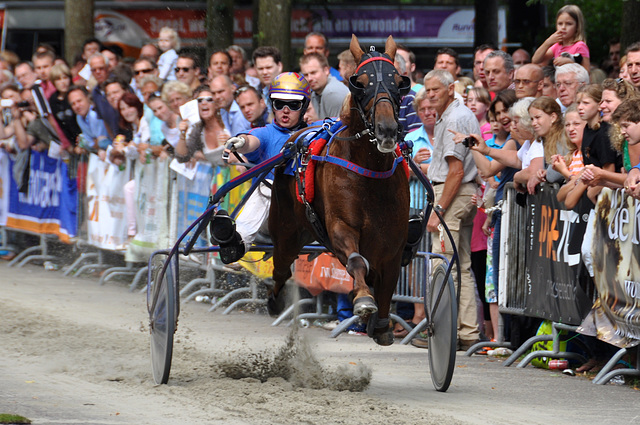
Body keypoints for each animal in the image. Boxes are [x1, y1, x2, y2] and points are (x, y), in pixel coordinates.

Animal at [268, 34, 410, 342]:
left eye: (398, 82)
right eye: (361, 82)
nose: (386, 130)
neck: (371, 172)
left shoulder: (394, 242)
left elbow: (389, 282)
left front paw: (381, 324)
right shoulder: (341, 227)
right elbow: (357, 261)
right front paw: (364, 301)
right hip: (285, 233)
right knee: (280, 268)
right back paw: (274, 300)